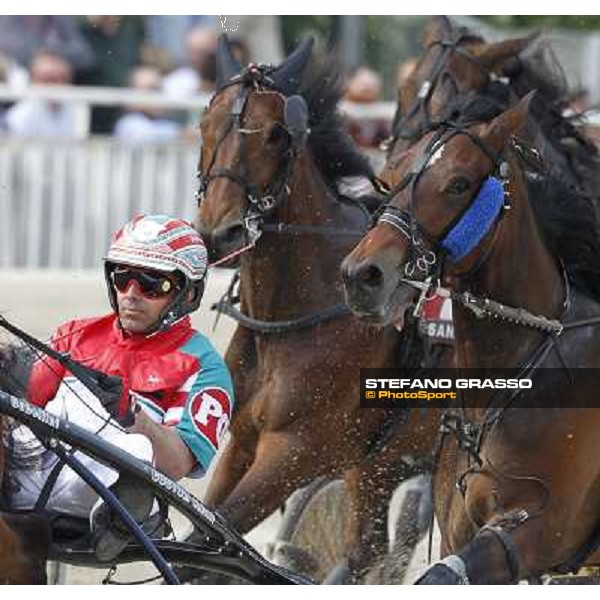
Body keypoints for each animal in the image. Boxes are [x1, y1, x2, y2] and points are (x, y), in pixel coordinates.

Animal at [193, 37, 440, 580]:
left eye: (276, 134)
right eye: (205, 124)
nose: (221, 232)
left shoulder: (295, 452)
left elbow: (211, 535)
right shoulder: (243, 439)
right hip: (380, 466)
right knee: (370, 546)